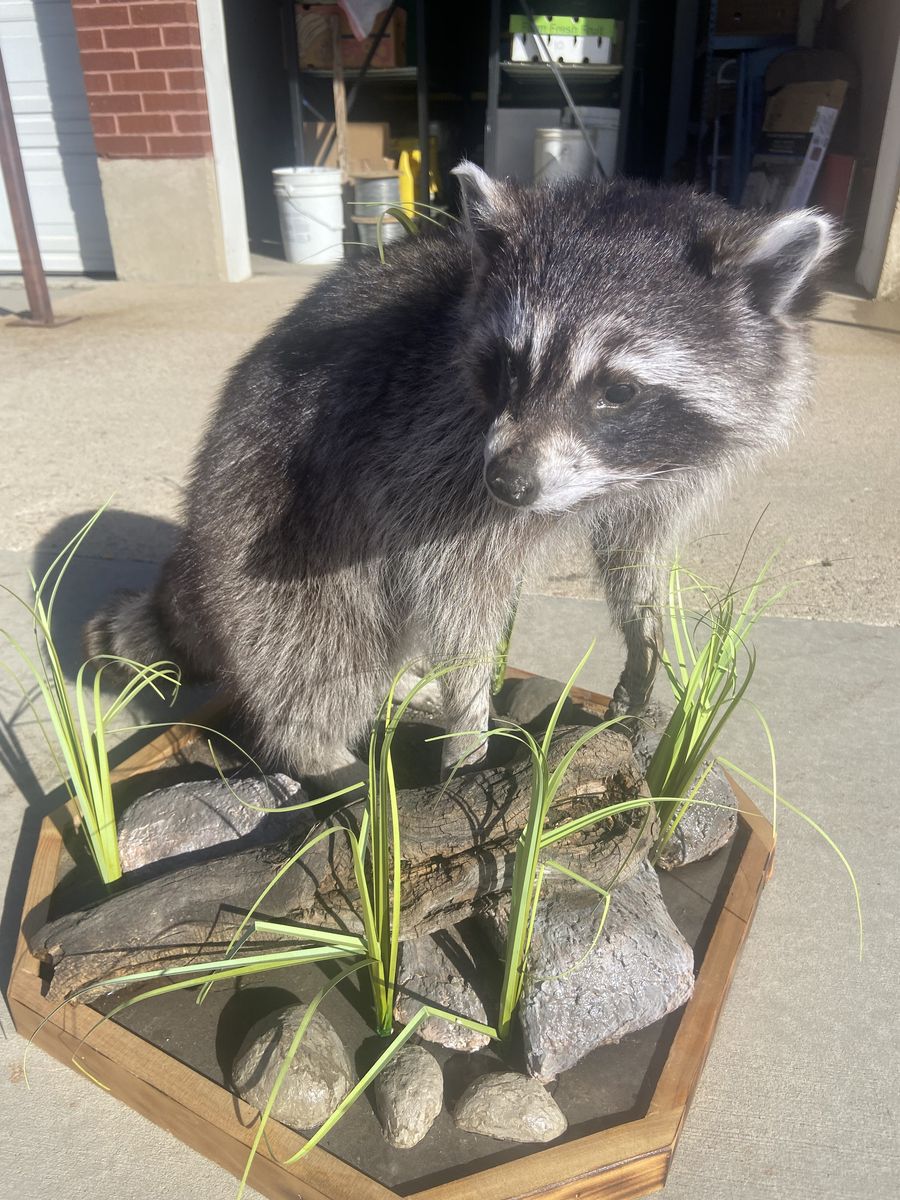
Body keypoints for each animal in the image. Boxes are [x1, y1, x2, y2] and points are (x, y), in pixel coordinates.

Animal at [86, 165, 836, 782]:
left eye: (618, 391)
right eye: (507, 364)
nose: (508, 483)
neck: (602, 480)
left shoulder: (659, 476)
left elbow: (637, 558)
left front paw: (644, 640)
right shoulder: (428, 453)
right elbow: (455, 596)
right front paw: (468, 728)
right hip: (266, 510)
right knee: (318, 645)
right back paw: (324, 760)